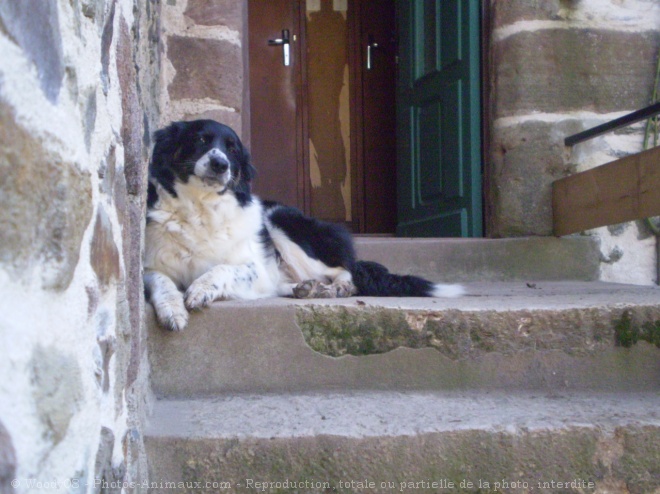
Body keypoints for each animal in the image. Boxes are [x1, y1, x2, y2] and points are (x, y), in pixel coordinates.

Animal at [144, 118, 464, 332]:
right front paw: (173, 310)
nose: (220, 164)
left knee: (347, 271)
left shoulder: (253, 268)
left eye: (232, 150)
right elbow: (161, 281)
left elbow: (222, 269)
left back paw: (334, 289)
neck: (200, 206)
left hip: (282, 222)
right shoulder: (150, 266)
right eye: (200, 140)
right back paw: (304, 289)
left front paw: (200, 289)